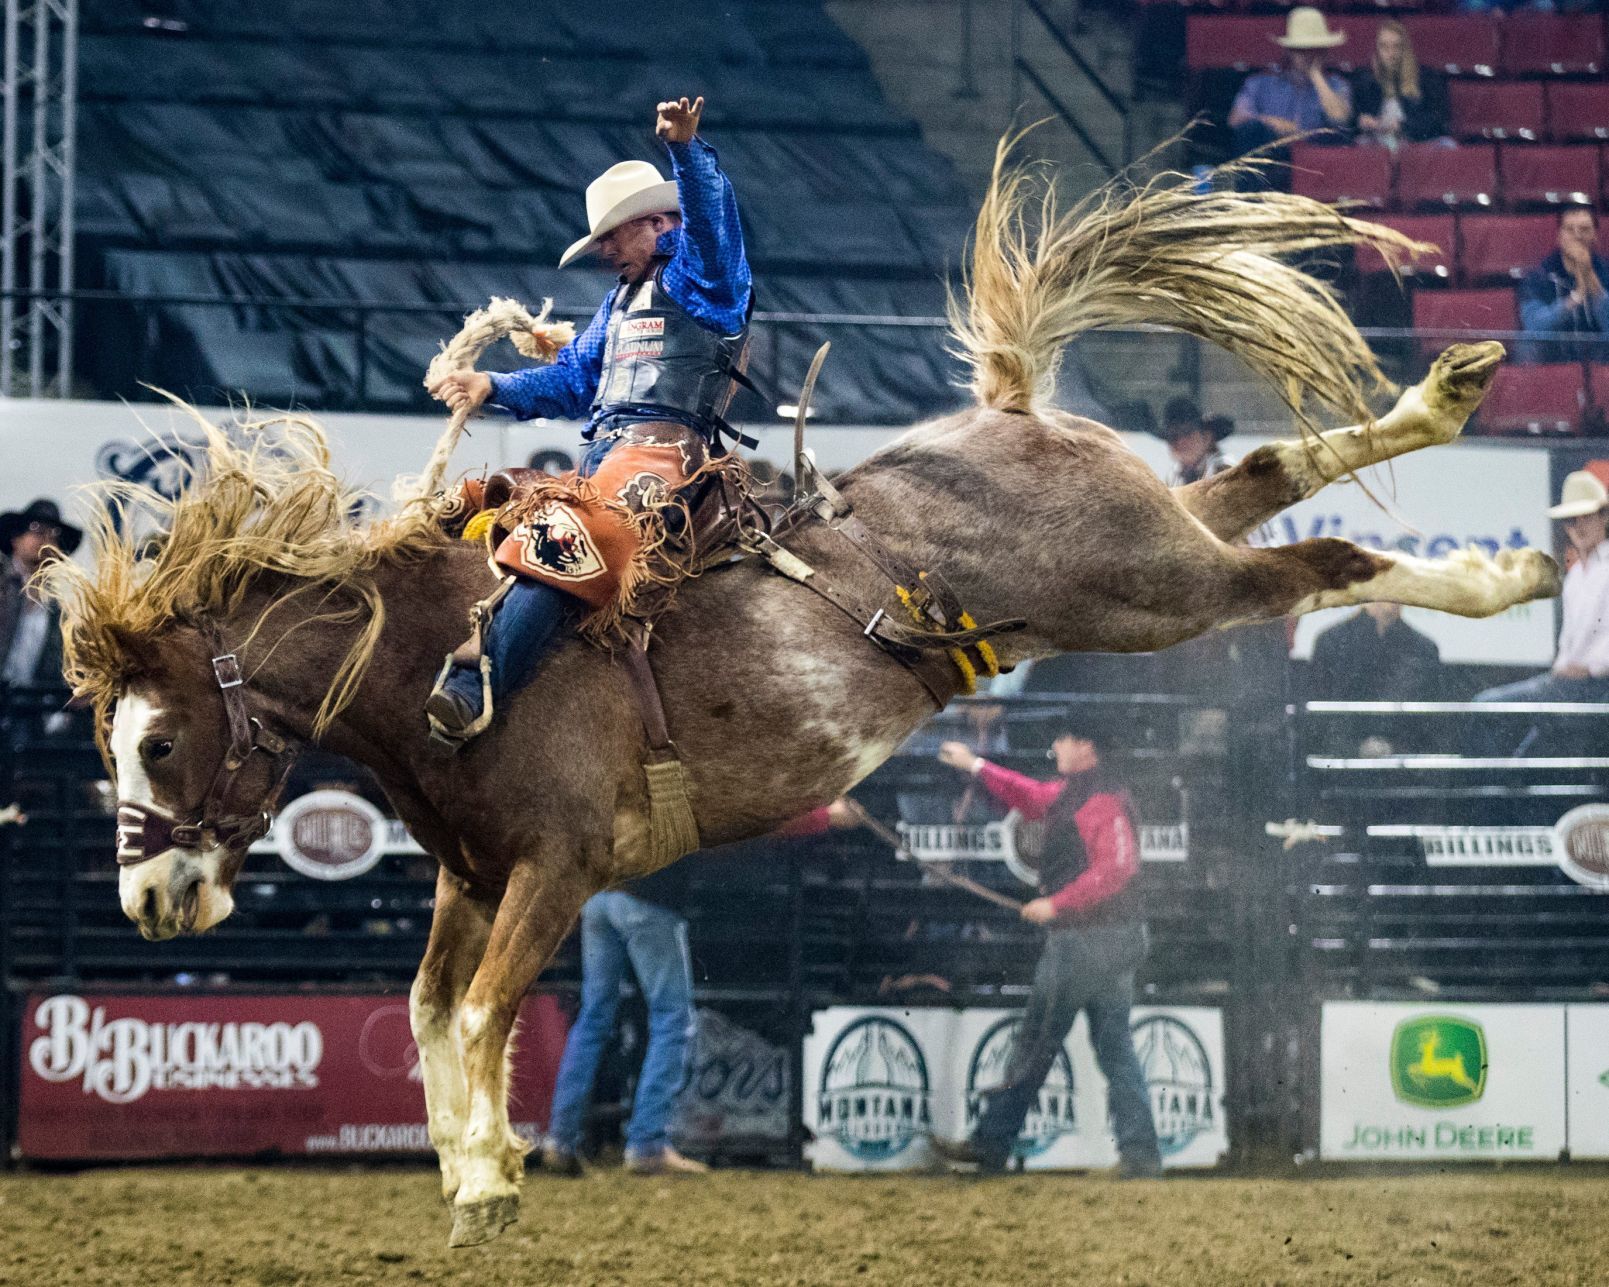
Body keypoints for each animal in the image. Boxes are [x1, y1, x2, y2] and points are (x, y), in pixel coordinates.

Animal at [47, 143, 1557, 1248]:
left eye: (160, 742)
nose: (149, 901)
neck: (440, 659)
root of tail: (1009, 410)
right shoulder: (472, 876)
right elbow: (430, 1015)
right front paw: (479, 1174)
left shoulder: (556, 866)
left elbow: (478, 1015)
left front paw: (489, 1180)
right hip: (1138, 556)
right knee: (1258, 478)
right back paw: (1444, 403)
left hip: (1153, 593)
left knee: (1320, 561)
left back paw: (1512, 565)